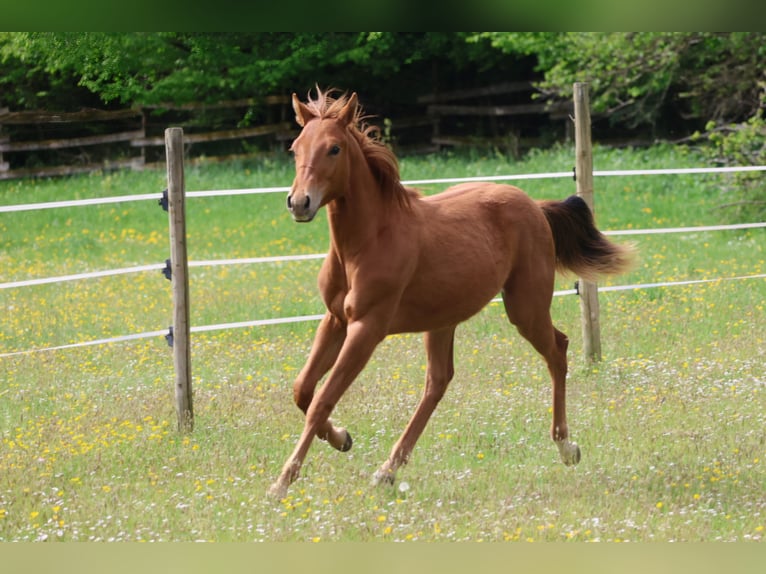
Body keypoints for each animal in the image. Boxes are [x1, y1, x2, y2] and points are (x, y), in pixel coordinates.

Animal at [268, 88, 636, 499]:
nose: (299, 202)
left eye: (334, 149)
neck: (366, 242)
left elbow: (323, 400)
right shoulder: (335, 320)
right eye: (295, 148)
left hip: (524, 306)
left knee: (557, 349)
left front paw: (281, 482)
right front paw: (343, 438)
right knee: (438, 382)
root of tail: (536, 207)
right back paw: (388, 470)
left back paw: (566, 446)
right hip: (443, 320)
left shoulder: (366, 328)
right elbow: (303, 390)